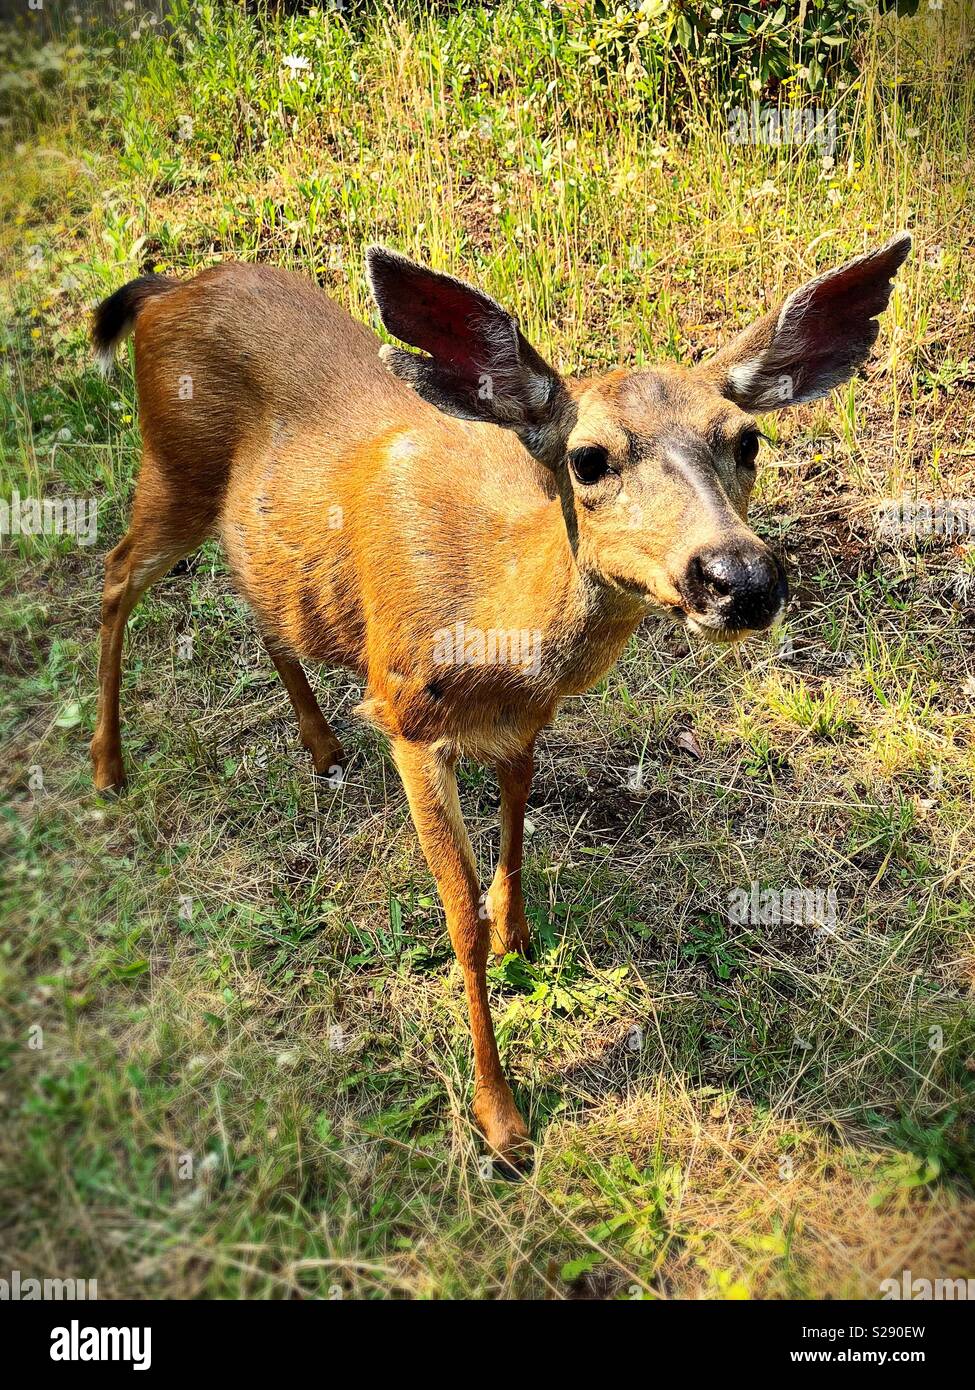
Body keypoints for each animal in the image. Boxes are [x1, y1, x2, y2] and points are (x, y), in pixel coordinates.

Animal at [91, 233, 912, 1167]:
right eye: (588, 458)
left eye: (747, 440)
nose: (739, 577)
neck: (496, 626)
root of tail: (169, 288)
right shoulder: (408, 718)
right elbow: (460, 920)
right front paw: (501, 1118)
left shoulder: (522, 724)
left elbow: (516, 831)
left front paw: (523, 934)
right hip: (172, 467)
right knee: (115, 574)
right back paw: (109, 766)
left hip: (257, 530)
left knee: (258, 600)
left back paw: (321, 747)